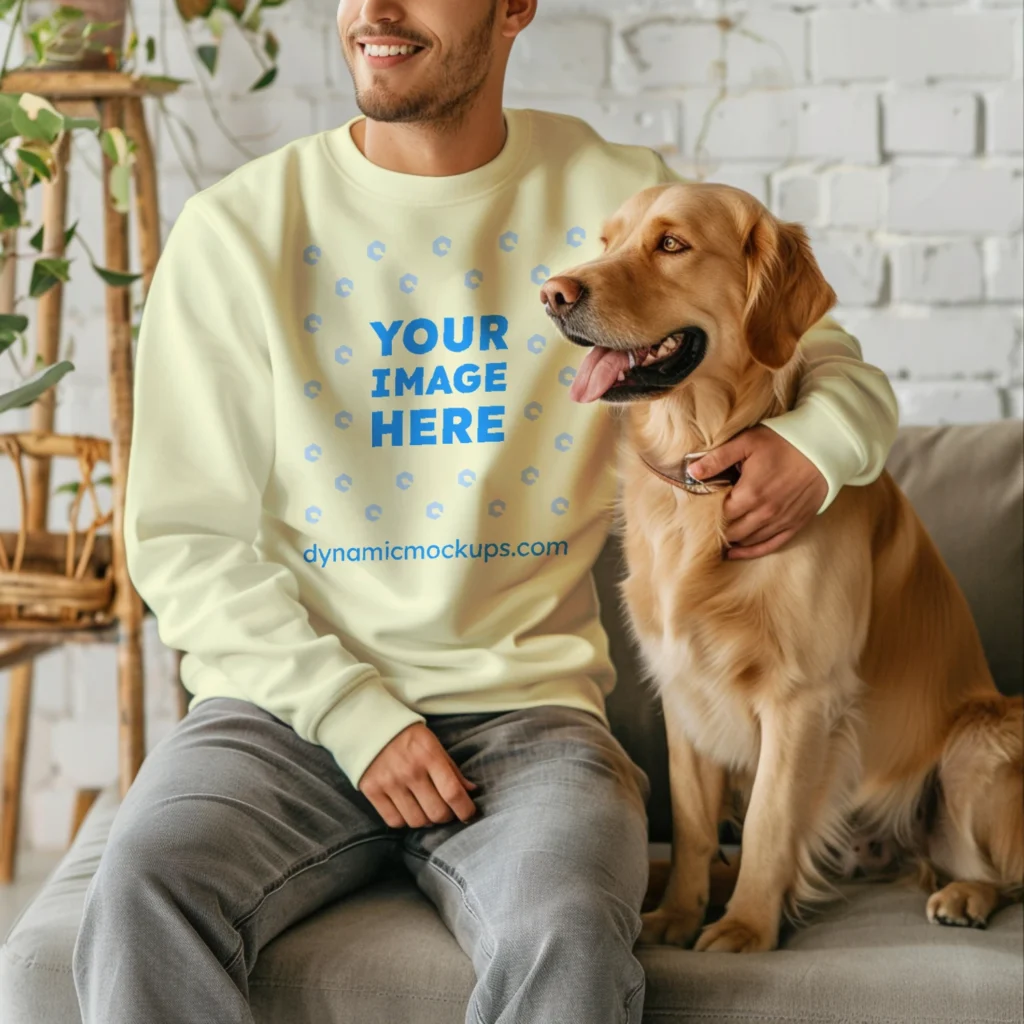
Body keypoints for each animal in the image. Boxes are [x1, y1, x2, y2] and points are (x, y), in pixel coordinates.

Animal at [540, 182, 1019, 950]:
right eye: (606, 241)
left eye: (671, 244)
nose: (553, 294)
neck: (705, 473)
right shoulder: (684, 689)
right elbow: (694, 824)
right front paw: (678, 914)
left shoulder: (802, 697)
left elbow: (768, 819)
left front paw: (744, 930)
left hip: (980, 739)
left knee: (991, 866)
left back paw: (964, 894)